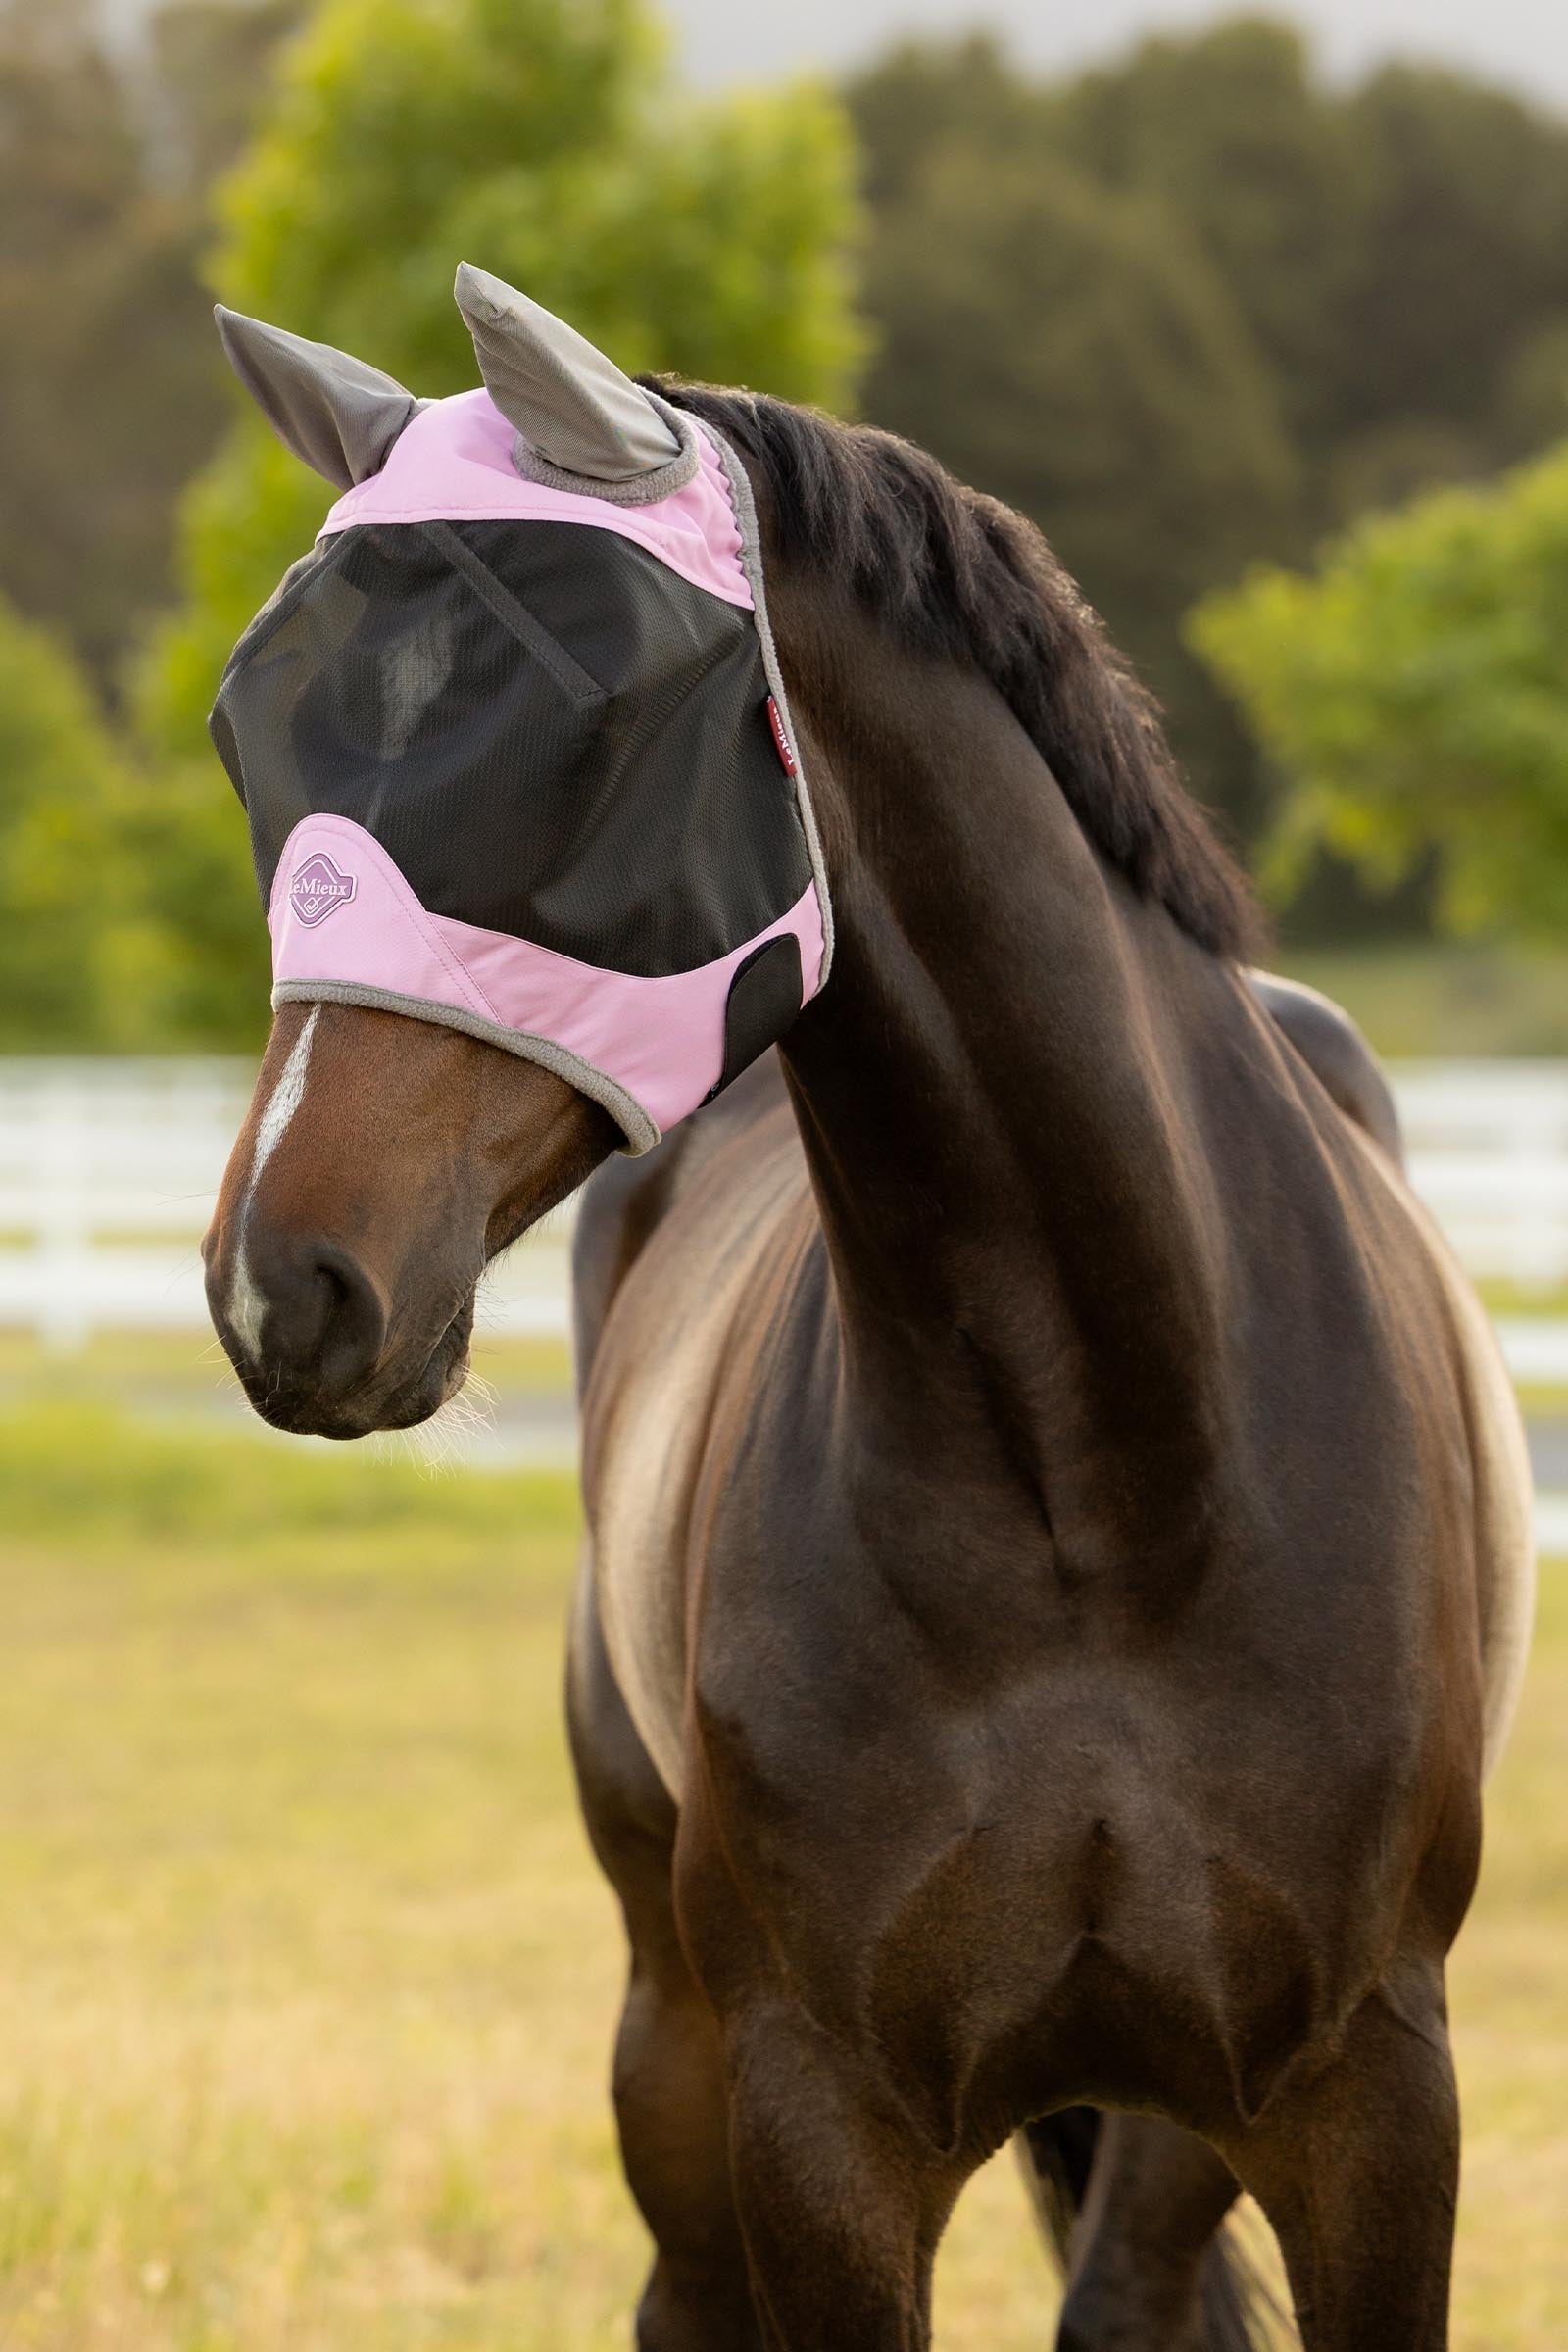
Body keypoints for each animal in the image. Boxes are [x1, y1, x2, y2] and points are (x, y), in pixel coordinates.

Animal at [201, 274, 1534, 2351]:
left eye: (592, 723)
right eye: (252, 731)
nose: (289, 1284)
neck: (1110, 1486)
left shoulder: (1370, 2102)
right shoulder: (818, 2116)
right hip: (669, 2034)